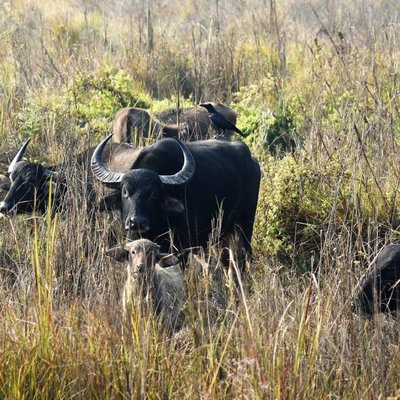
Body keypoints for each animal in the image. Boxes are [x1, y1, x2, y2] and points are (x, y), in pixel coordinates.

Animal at [91, 134, 260, 268]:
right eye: (125, 192)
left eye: (154, 193)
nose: (136, 222)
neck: (159, 224)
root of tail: (252, 161)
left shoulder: (181, 249)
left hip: (245, 225)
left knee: (245, 258)